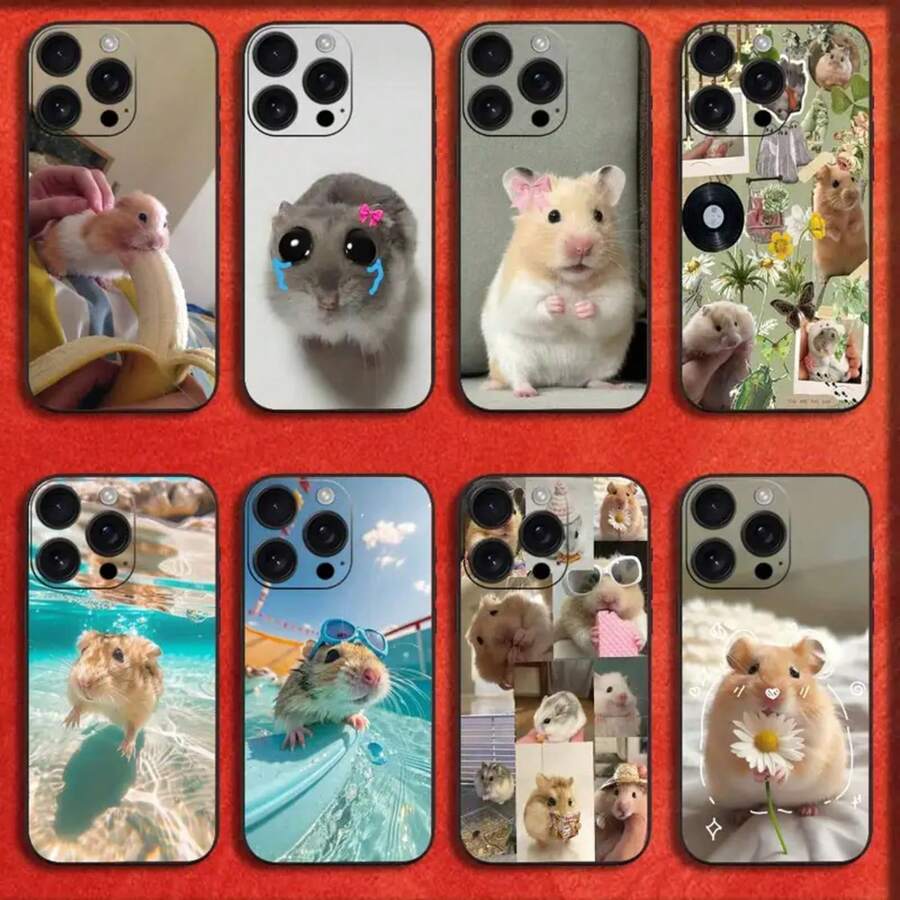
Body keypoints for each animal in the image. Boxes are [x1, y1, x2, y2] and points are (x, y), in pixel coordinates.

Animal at [40, 191, 169, 281]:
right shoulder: (97, 238)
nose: (156, 245)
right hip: (56, 248)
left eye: (165, 224)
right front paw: (128, 254)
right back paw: (58, 274)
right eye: (142, 216)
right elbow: (114, 252)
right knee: (49, 256)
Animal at [64, 630, 163, 759]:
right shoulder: (80, 698)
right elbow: (78, 706)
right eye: (83, 650)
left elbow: (132, 729)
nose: (83, 682)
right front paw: (68, 723)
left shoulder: (141, 710)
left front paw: (125, 753)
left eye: (119, 655)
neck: (109, 700)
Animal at [268, 173, 417, 355]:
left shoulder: (377, 324)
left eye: (362, 248)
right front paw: (314, 349)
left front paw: (374, 360)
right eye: (293, 246)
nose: (328, 303)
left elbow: (370, 344)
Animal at [481, 166, 638, 397]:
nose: (583, 247)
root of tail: (557, 379)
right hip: (510, 356)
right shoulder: (519, 290)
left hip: (608, 362)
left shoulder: (618, 291)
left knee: (592, 381)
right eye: (553, 216)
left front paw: (581, 307)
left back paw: (618, 386)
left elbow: (607, 307)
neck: (570, 281)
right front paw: (558, 303)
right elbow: (533, 307)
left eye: (598, 215)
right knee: (517, 377)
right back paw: (525, 392)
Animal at [704, 636, 846, 816]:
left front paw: (777, 770)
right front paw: (760, 771)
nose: (771, 694)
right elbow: (744, 767)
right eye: (752, 669)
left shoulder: (812, 750)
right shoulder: (727, 748)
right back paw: (740, 816)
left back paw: (808, 810)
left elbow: (795, 768)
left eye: (795, 672)